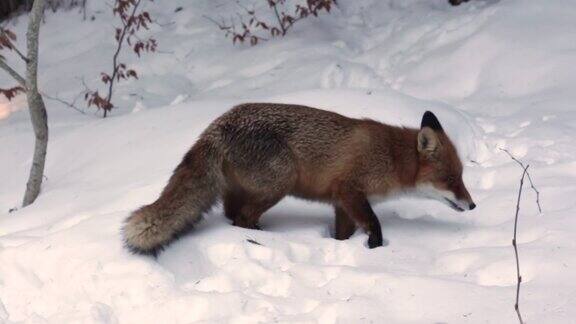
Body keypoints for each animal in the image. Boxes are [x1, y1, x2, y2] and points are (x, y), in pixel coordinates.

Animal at [122, 104, 476, 256]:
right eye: (450, 178)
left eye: (461, 176)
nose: (473, 205)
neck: (389, 156)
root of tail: (215, 126)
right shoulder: (350, 190)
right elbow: (374, 223)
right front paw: (375, 247)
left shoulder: (341, 202)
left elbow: (342, 234)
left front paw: (343, 249)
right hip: (281, 180)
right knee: (241, 218)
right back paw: (267, 238)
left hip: (245, 188)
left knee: (231, 215)